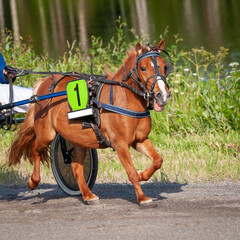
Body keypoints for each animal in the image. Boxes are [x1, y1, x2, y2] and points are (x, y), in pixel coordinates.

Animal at [8, 40, 172, 205]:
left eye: (164, 66)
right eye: (143, 68)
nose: (162, 95)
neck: (122, 100)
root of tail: (45, 82)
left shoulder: (140, 140)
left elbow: (158, 160)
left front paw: (142, 174)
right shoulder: (120, 144)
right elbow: (130, 171)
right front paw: (142, 197)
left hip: (79, 139)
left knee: (75, 166)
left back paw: (88, 195)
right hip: (46, 133)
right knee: (35, 151)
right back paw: (33, 182)